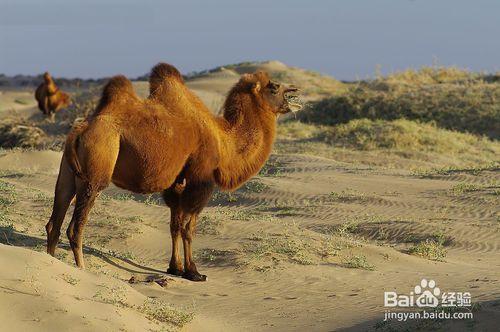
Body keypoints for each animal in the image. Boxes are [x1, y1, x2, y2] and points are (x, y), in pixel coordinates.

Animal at [46, 62, 300, 280]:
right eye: (274, 86)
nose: (296, 92)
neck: (223, 140)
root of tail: (80, 128)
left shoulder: (177, 182)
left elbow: (174, 226)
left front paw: (175, 268)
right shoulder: (200, 180)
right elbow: (189, 228)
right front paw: (194, 272)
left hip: (68, 172)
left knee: (55, 220)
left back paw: (51, 261)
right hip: (96, 168)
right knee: (75, 226)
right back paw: (82, 268)